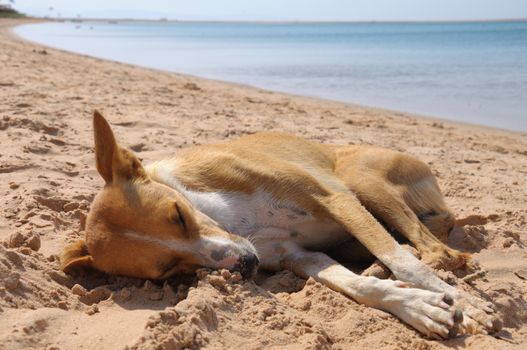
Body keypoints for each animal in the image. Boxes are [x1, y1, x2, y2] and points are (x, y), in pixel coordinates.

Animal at [62, 111, 500, 340]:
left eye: (178, 215)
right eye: (166, 269)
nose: (245, 266)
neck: (226, 216)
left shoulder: (336, 199)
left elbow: (406, 263)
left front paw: (465, 303)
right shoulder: (300, 257)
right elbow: (358, 286)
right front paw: (416, 306)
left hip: (360, 181)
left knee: (434, 250)